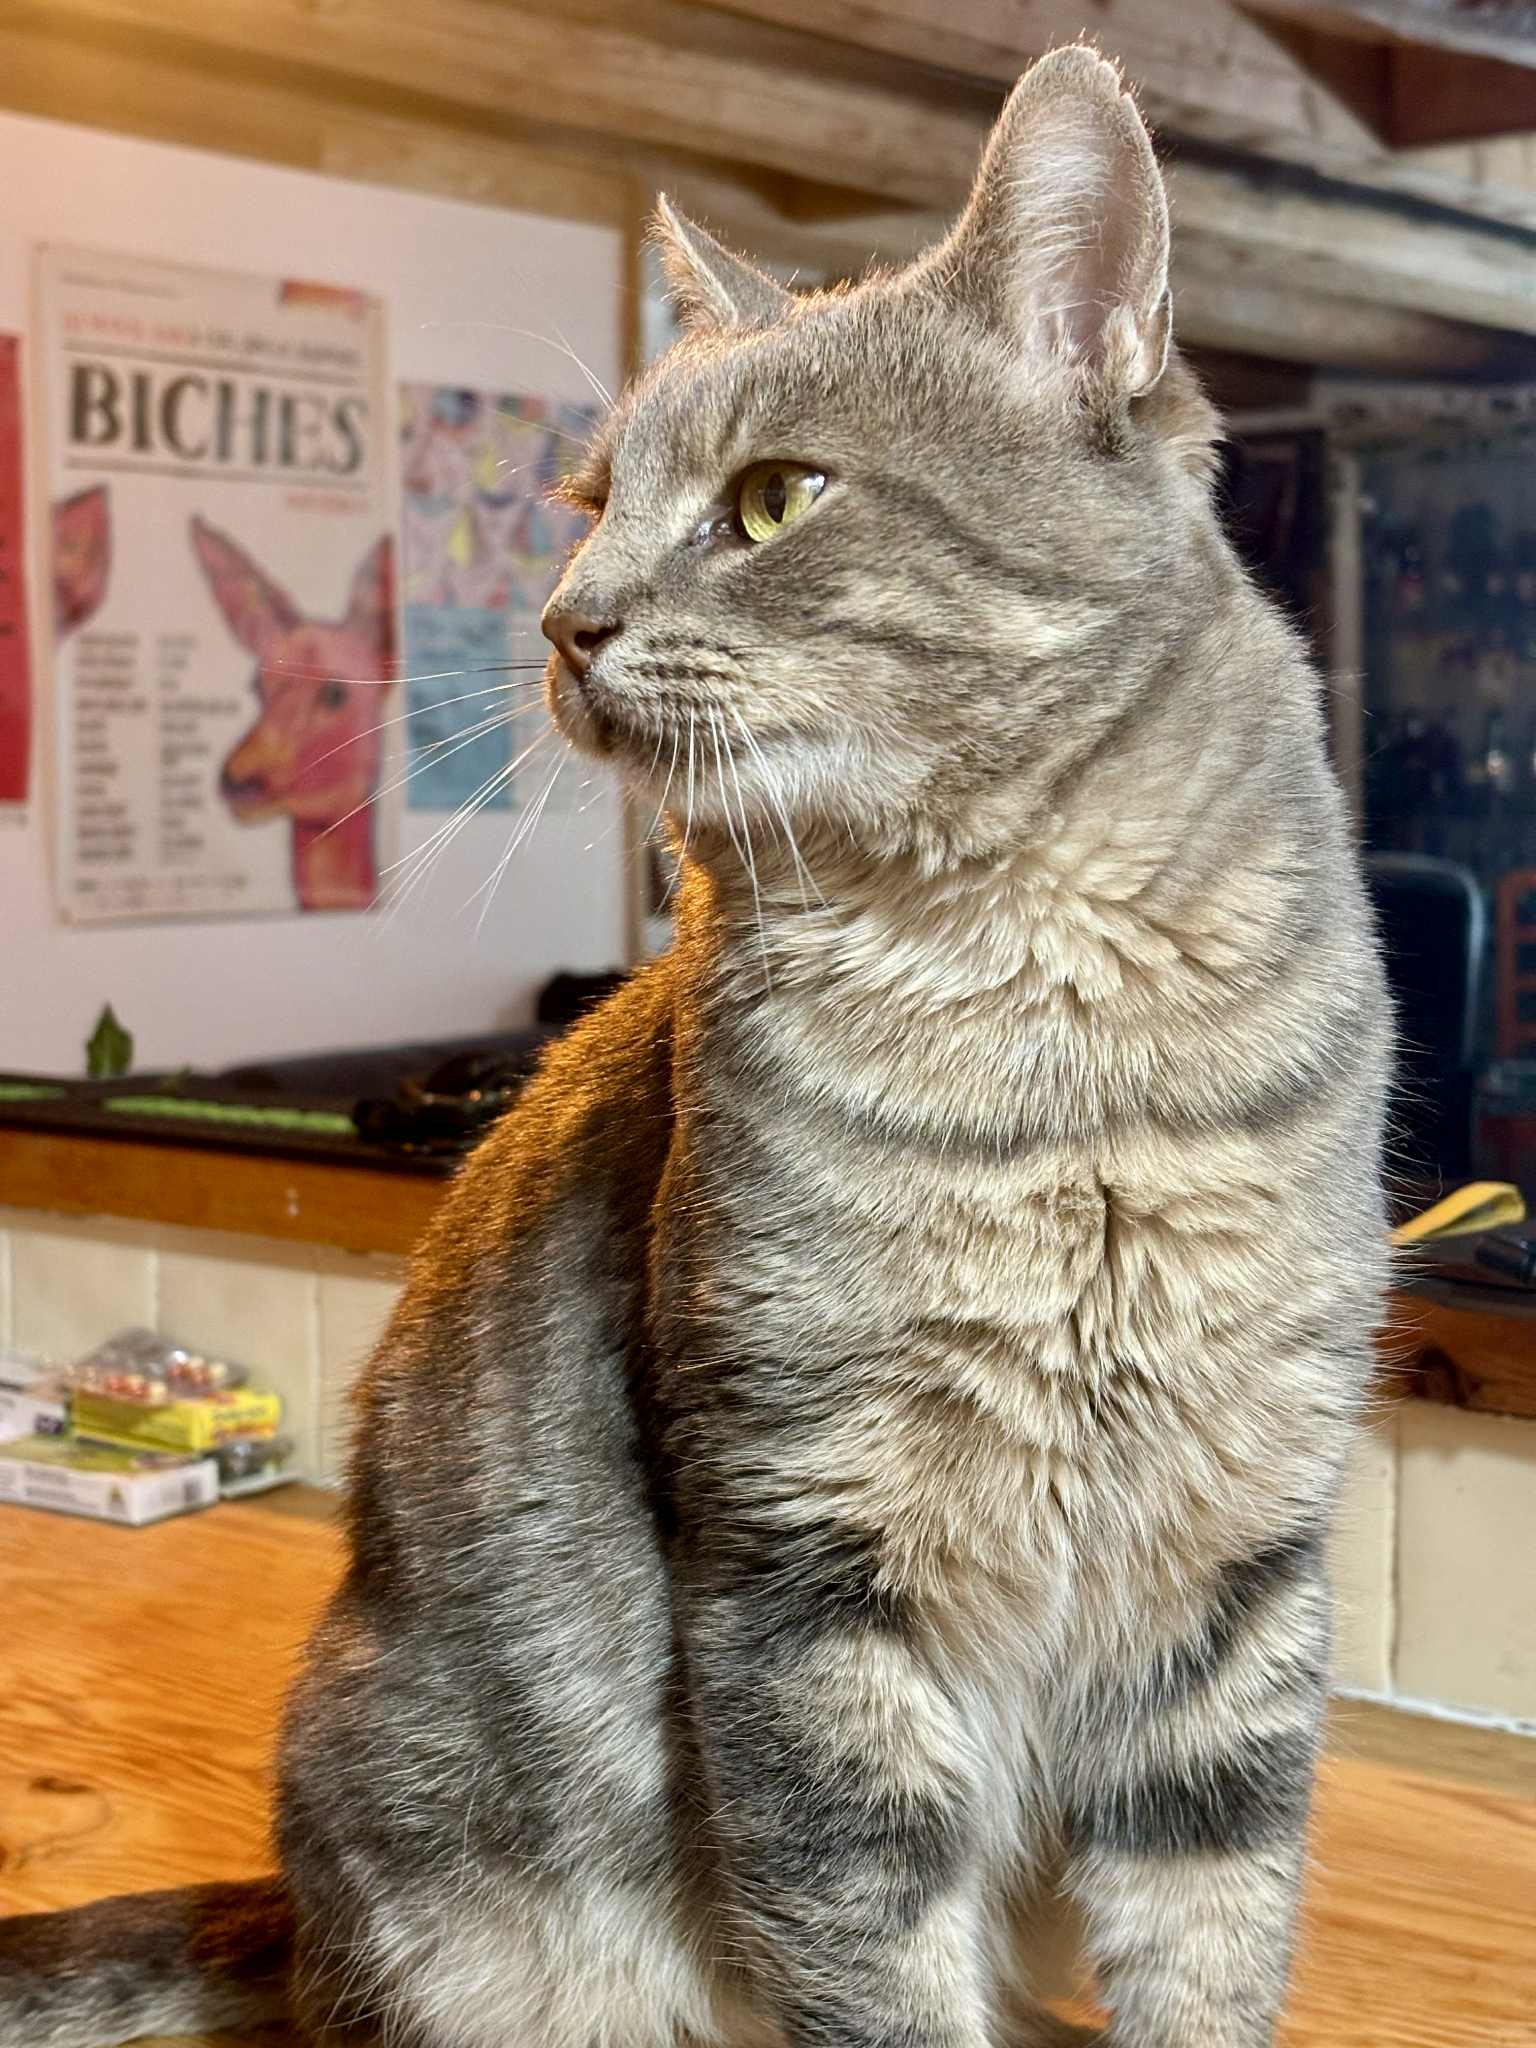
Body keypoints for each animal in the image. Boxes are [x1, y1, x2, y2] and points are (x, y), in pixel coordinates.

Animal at [0, 45, 1389, 2048]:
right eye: (590, 498)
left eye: (773, 499)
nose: (564, 618)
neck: (1047, 1036)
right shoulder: (803, 1561)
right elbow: (876, 1960)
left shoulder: (1236, 1558)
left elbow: (1213, 1941)